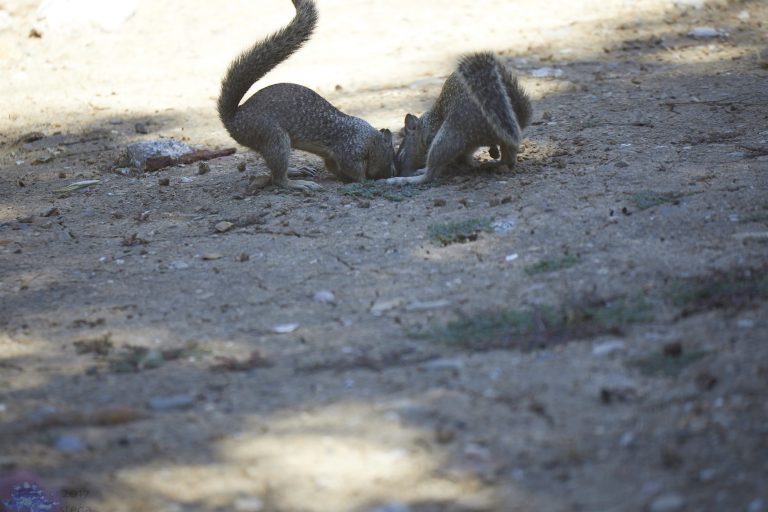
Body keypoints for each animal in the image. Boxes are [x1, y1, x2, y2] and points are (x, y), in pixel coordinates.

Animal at [217, 0, 396, 192]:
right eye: (390, 158)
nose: (391, 174)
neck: (370, 139)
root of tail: (233, 121)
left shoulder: (332, 157)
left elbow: (334, 167)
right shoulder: (350, 148)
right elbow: (353, 169)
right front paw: (365, 181)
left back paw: (296, 171)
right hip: (273, 137)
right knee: (278, 178)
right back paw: (299, 183)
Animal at [386, 52, 532, 185]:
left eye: (402, 155)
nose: (401, 172)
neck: (422, 129)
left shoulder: (431, 135)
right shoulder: (468, 146)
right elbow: (465, 157)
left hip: (451, 132)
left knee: (431, 173)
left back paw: (409, 178)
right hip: (500, 136)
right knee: (508, 158)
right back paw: (494, 164)